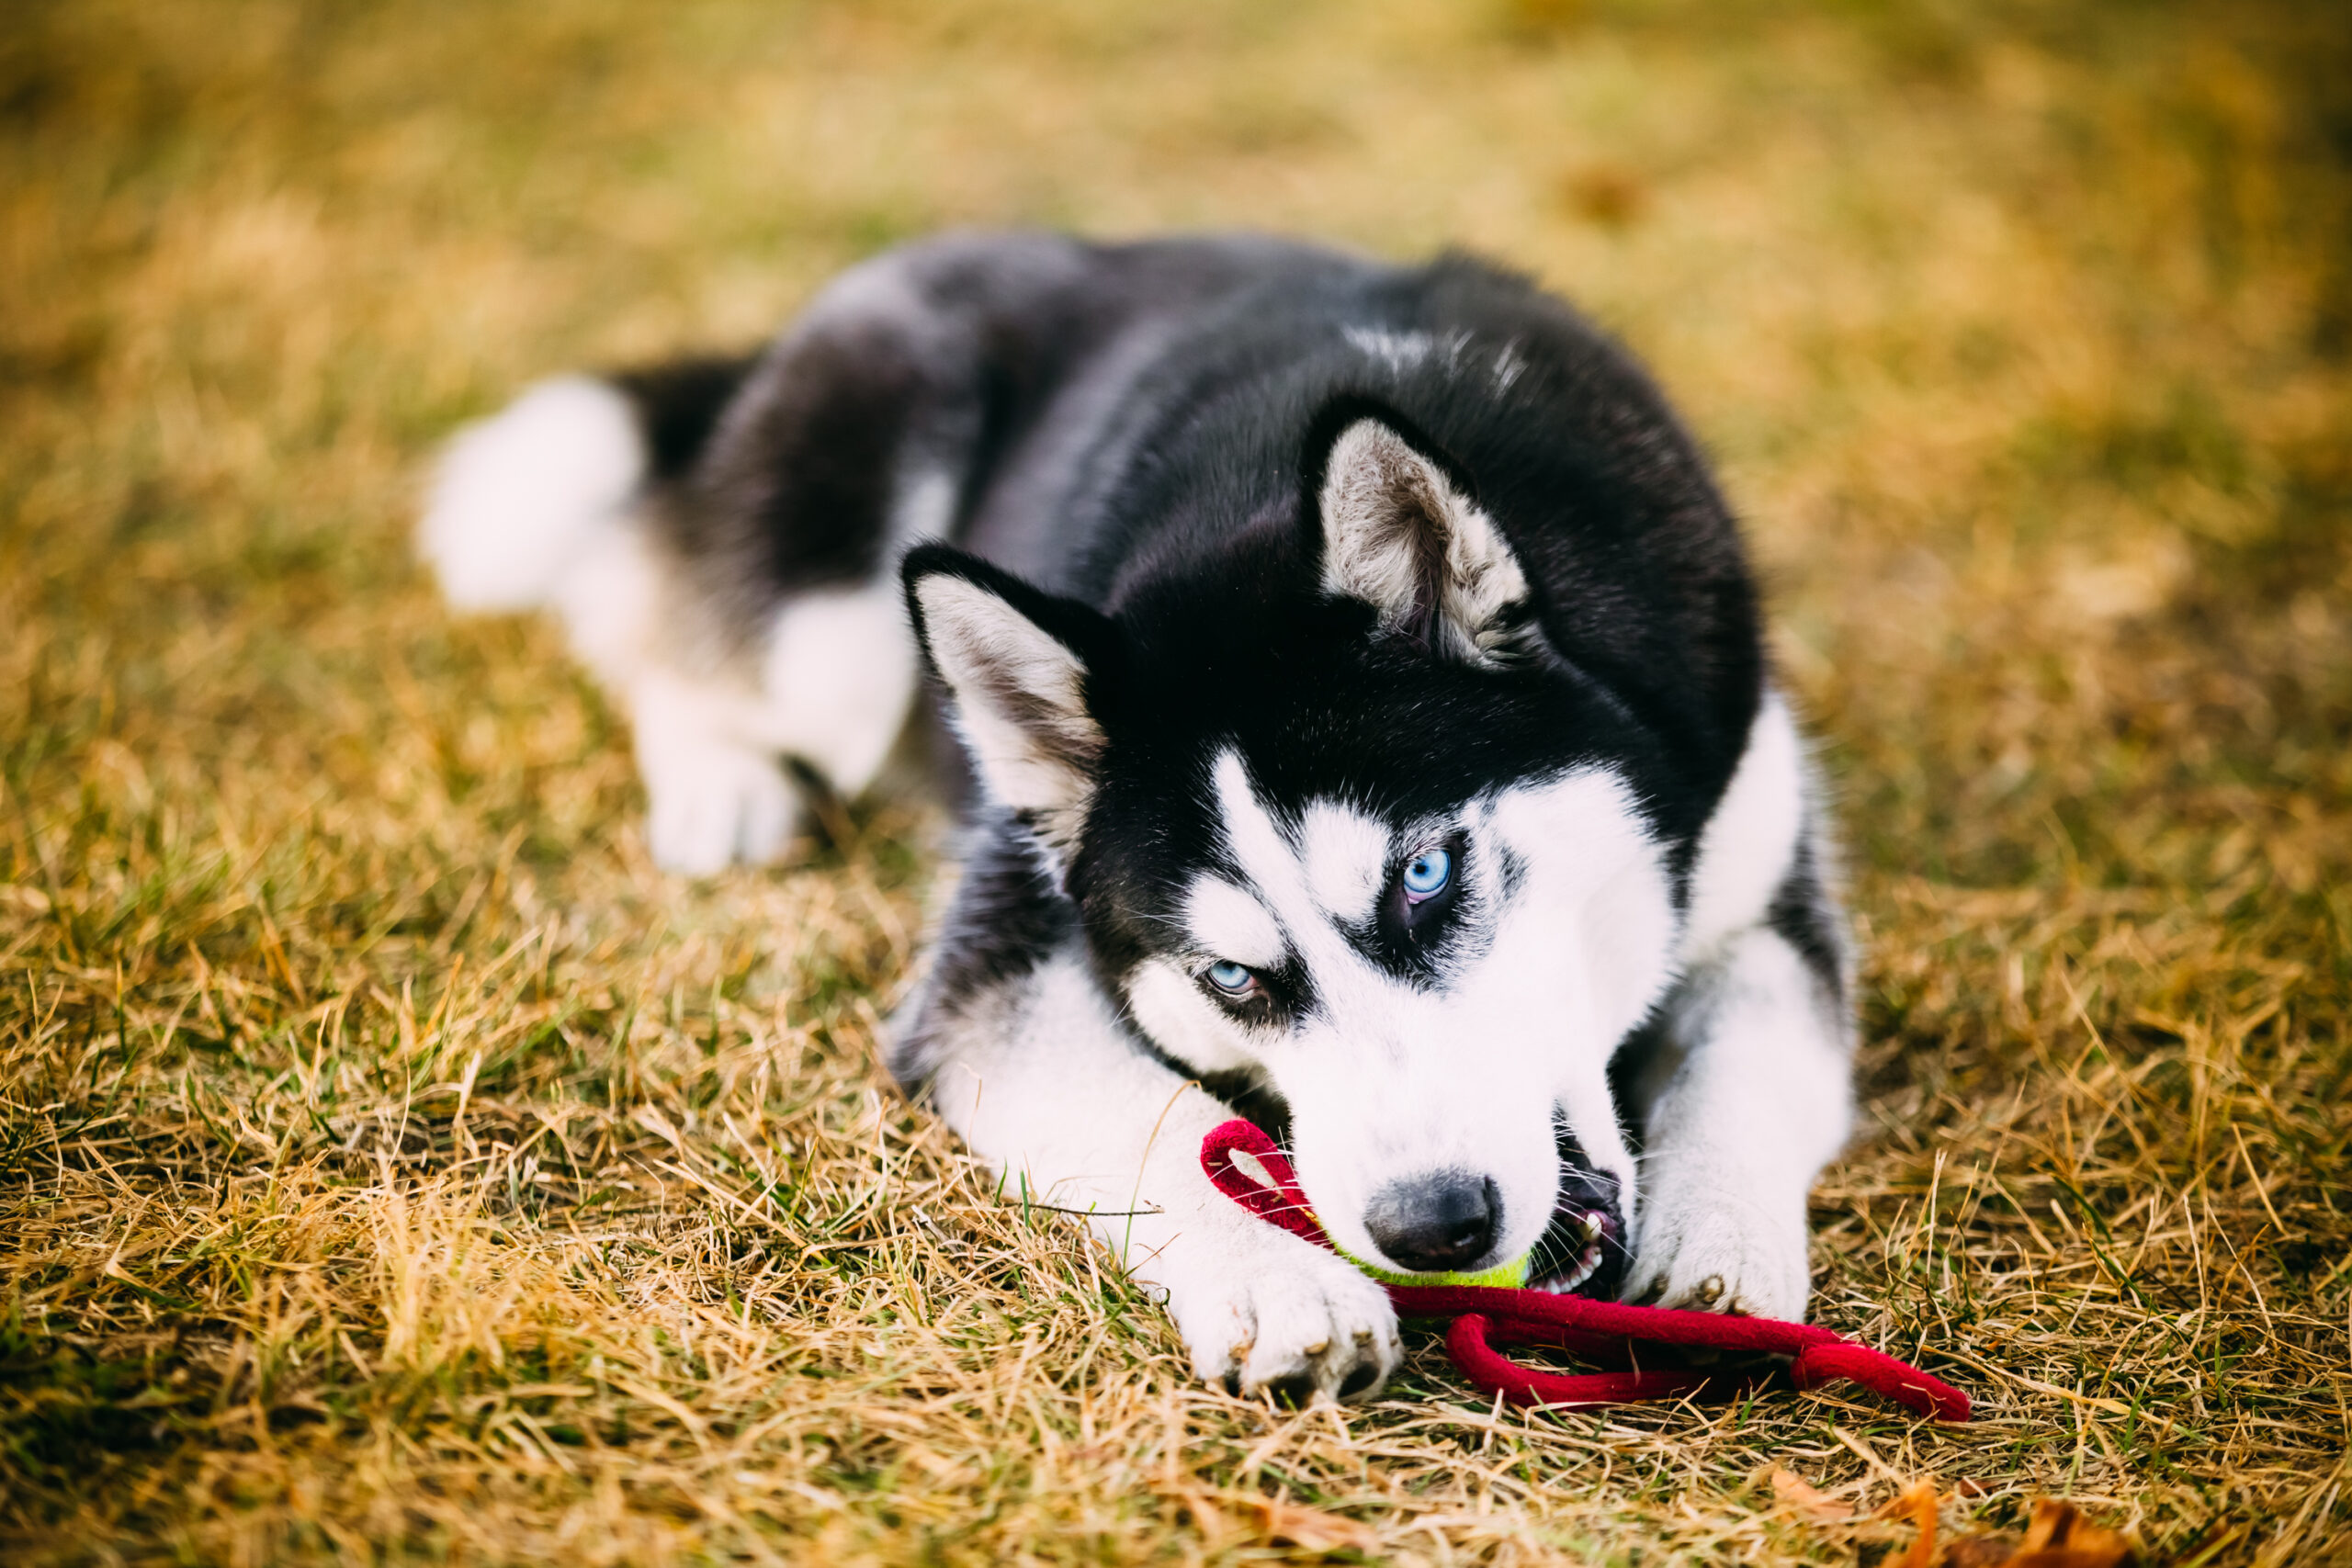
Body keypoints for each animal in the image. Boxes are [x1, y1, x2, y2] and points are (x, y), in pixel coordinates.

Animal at [418, 230, 1853, 1401]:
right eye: (1230, 976)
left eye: (1427, 876)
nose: (1432, 1226)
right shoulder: (1002, 952)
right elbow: (1150, 1112)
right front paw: (1276, 1274)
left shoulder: (1760, 864)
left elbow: (1754, 1045)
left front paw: (1723, 1241)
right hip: (837, 631)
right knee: (647, 609)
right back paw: (720, 780)